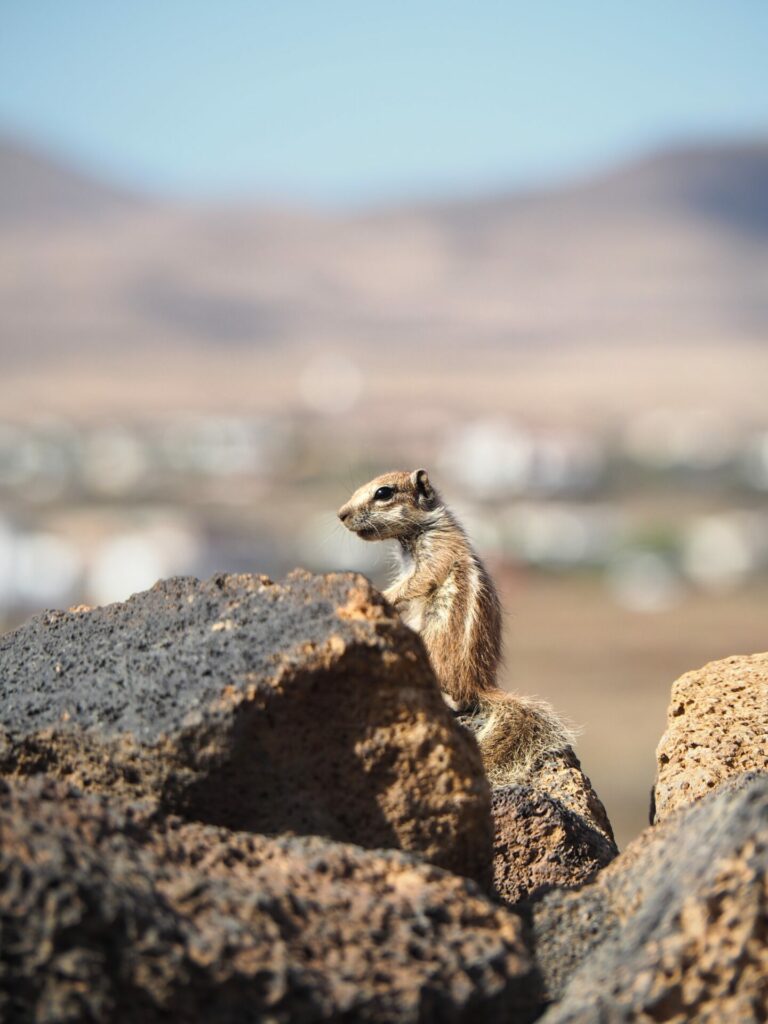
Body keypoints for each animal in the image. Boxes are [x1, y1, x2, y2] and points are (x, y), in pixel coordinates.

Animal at [335, 468, 573, 782]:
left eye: (383, 493)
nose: (341, 514)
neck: (418, 531)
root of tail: (480, 684)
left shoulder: (437, 555)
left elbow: (417, 582)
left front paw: (383, 595)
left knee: (460, 700)